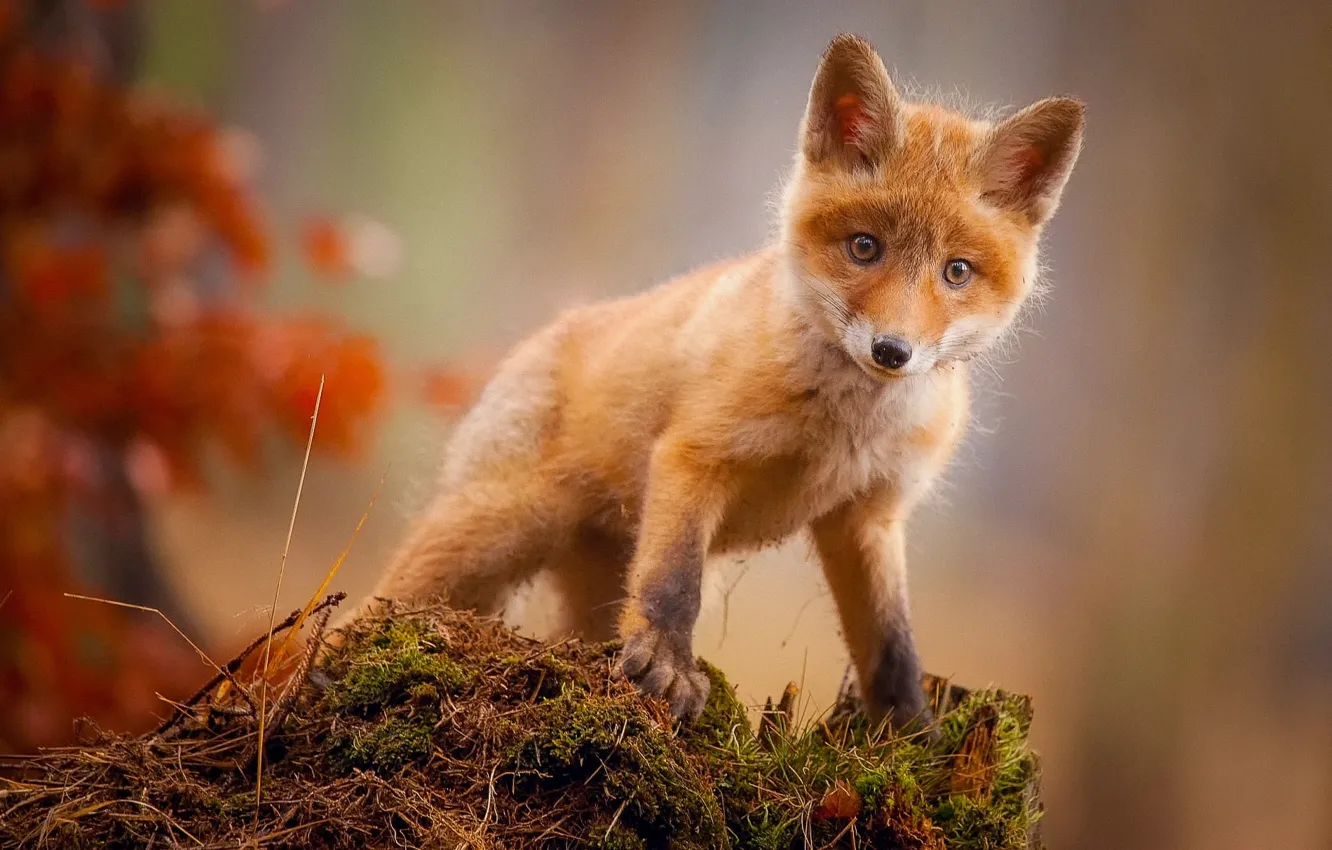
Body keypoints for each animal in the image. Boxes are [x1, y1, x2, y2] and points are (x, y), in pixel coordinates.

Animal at [357, 34, 1084, 725]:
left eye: (957, 271)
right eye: (864, 247)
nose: (892, 350)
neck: (843, 428)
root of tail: (547, 333)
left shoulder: (868, 517)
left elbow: (893, 649)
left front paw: (912, 740)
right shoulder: (696, 455)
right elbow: (676, 582)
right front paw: (667, 666)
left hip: (589, 582)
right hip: (488, 535)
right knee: (363, 610)